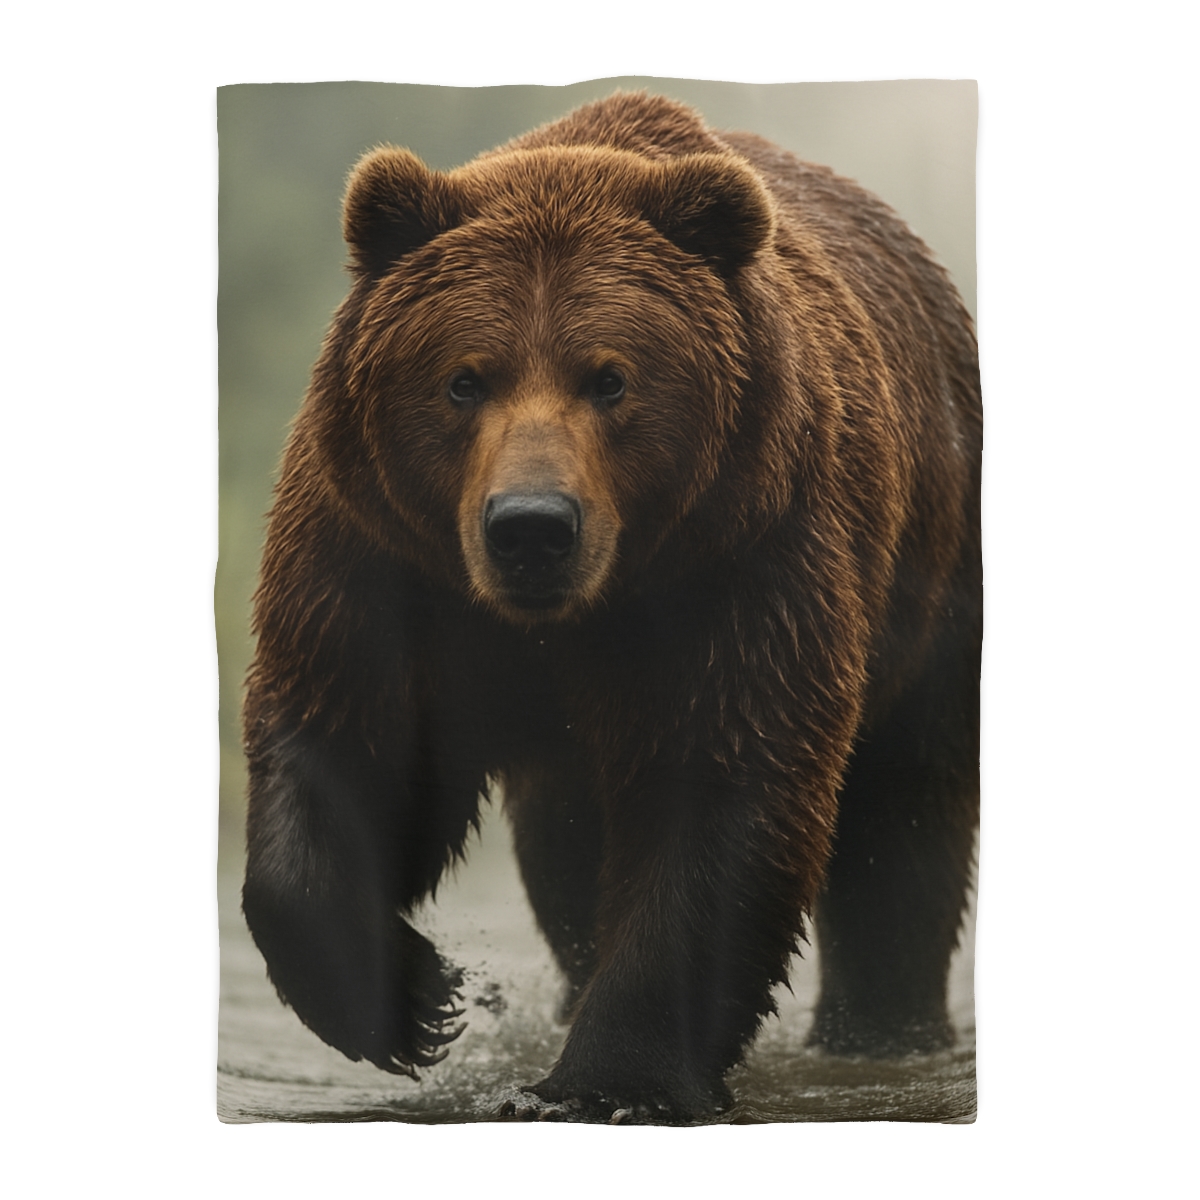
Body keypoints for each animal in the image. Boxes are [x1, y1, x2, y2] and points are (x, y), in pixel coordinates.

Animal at [241, 91, 981, 1124]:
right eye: (464, 378)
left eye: (611, 377)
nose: (532, 527)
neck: (561, 623)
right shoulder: (385, 559)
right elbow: (347, 744)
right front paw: (420, 1002)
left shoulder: (741, 563)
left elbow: (719, 797)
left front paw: (608, 1080)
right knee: (567, 858)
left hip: (931, 589)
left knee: (903, 837)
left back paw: (882, 1033)